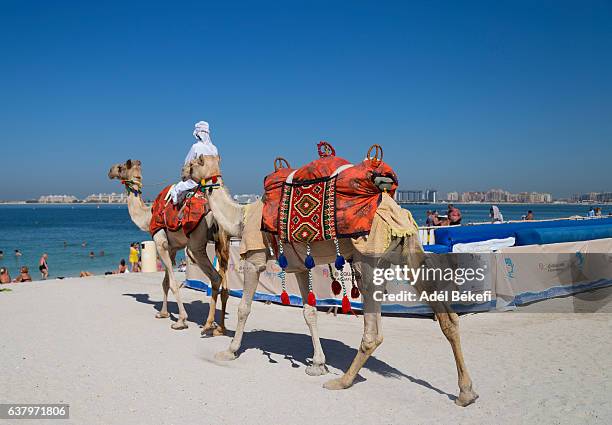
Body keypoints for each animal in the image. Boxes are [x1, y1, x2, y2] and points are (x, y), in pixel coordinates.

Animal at [106, 159, 231, 334]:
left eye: (120, 167)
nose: (110, 171)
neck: (147, 216)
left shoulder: (160, 244)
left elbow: (172, 283)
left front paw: (181, 320)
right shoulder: (171, 248)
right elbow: (165, 282)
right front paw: (163, 313)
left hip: (195, 245)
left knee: (215, 277)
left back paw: (208, 324)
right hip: (223, 244)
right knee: (225, 284)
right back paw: (220, 328)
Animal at [186, 154, 478, 406]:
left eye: (195, 162)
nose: (182, 171)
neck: (241, 217)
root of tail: (396, 210)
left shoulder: (255, 257)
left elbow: (244, 308)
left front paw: (230, 350)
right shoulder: (299, 265)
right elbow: (309, 312)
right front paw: (317, 364)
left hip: (367, 257)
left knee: (374, 332)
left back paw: (343, 380)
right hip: (410, 251)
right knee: (447, 318)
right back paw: (466, 392)